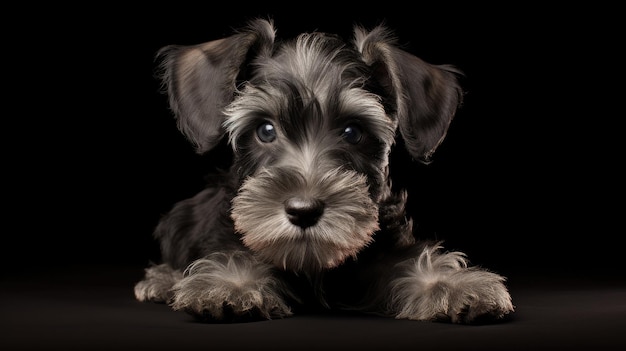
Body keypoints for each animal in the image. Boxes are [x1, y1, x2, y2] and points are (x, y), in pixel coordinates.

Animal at [133, 17, 512, 324]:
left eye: (353, 132)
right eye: (265, 130)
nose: (304, 210)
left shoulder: (383, 252)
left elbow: (412, 262)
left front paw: (454, 285)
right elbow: (235, 253)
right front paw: (229, 284)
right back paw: (160, 282)